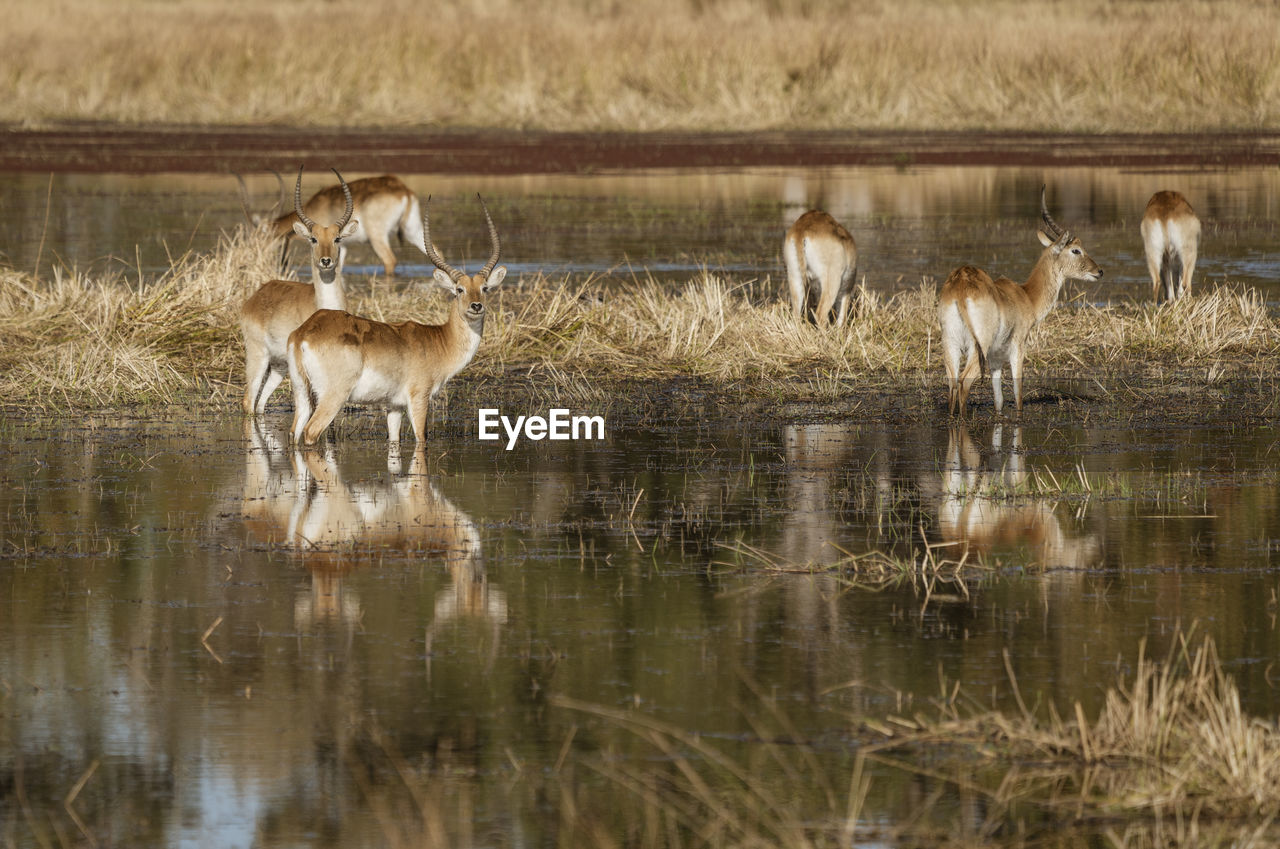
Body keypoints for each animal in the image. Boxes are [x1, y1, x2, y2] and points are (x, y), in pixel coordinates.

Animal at [235, 166, 424, 272]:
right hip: (413, 231)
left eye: (259, 238)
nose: (247, 260)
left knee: (390, 261)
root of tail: (404, 190)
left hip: (377, 237)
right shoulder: (342, 246)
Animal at [240, 166, 358, 417]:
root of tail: (256, 296)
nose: (326, 261)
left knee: (260, 404)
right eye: (313, 239)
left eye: (337, 238)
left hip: (279, 366)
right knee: (248, 400)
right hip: (258, 355)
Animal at [288, 192, 506, 445]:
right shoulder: (419, 397)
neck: (439, 341)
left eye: (485, 288)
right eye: (459, 289)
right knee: (311, 432)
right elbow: (421, 439)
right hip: (333, 396)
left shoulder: (394, 406)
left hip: (302, 393)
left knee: (294, 432)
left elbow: (394, 441)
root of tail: (304, 333)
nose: (476, 306)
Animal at [936, 189, 1105, 422]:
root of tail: (960, 286)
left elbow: (998, 399)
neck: (1025, 296)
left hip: (950, 342)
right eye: (1076, 250)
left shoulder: (995, 357)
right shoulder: (1018, 346)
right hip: (977, 347)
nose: (1099, 271)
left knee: (952, 382)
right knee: (964, 381)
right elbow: (1018, 392)